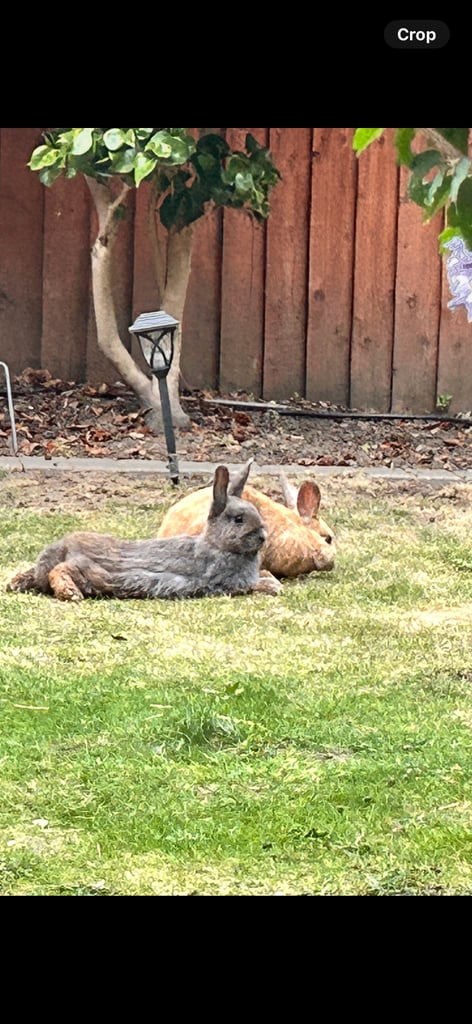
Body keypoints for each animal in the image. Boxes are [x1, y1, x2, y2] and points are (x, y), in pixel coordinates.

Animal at [7, 465, 282, 602]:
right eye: (238, 519)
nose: (262, 538)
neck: (217, 545)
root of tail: (62, 547)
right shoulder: (226, 582)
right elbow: (254, 585)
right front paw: (273, 587)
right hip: (96, 573)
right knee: (61, 571)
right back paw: (71, 594)